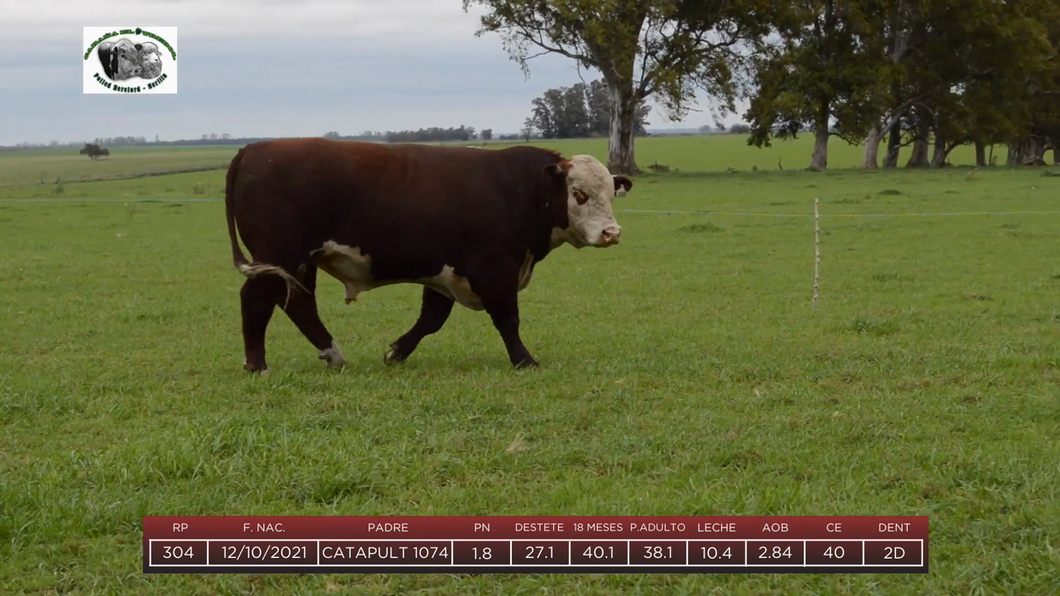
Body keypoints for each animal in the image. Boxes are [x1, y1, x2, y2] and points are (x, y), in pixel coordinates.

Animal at [222, 138, 627, 371]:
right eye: (579, 194)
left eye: (611, 193)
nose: (612, 232)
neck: (517, 188)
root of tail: (253, 149)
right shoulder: (494, 269)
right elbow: (507, 318)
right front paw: (524, 360)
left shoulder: (445, 271)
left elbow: (431, 319)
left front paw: (396, 352)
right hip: (280, 254)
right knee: (256, 298)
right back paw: (257, 364)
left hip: (300, 261)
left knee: (298, 303)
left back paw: (332, 355)